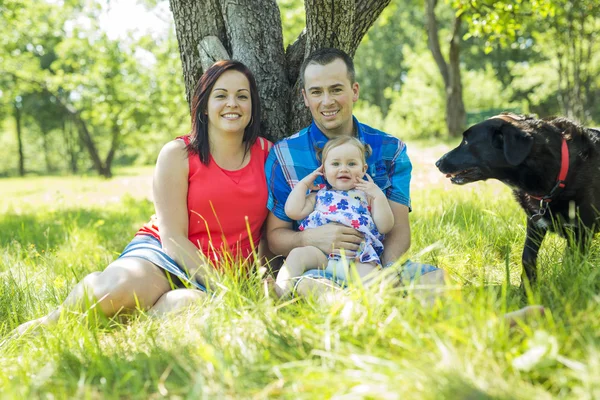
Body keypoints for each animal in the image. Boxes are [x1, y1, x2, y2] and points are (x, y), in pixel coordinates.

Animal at [436, 114, 600, 284]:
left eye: (466, 141)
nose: (437, 163)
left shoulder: (582, 232)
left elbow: (572, 263)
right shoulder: (535, 224)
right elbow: (527, 257)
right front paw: (527, 288)